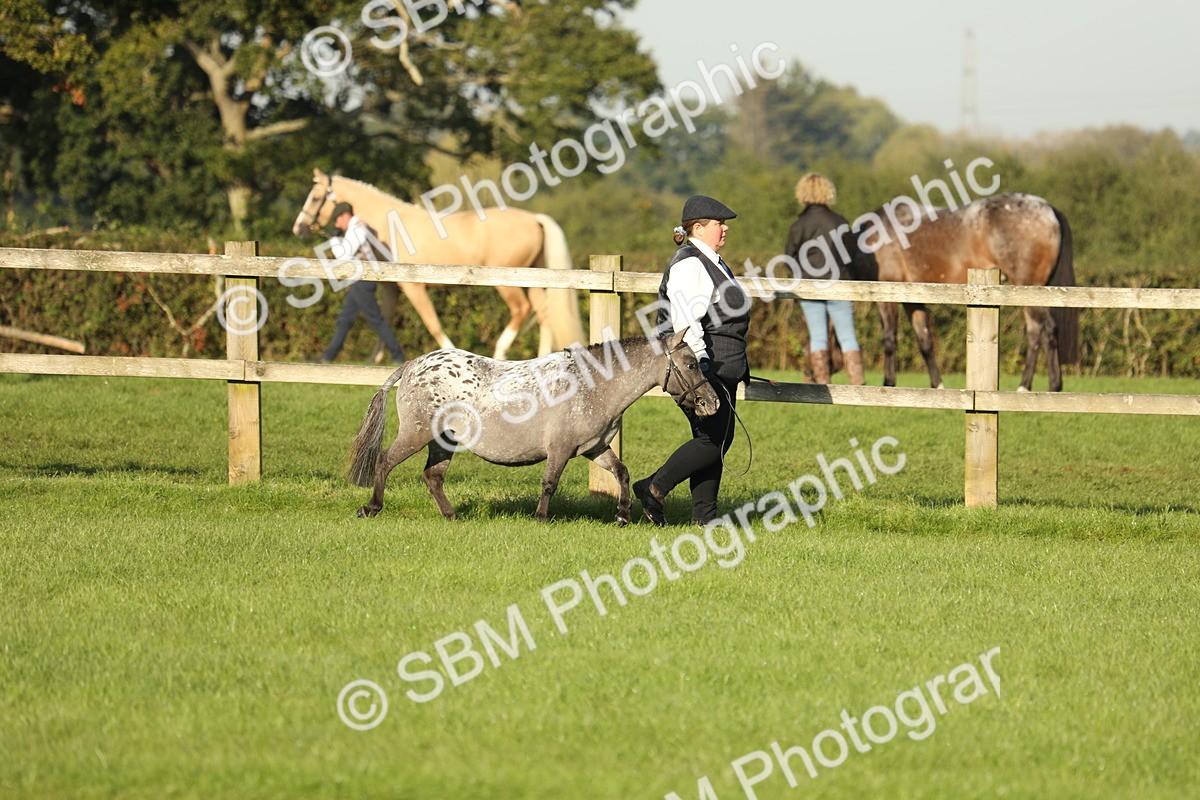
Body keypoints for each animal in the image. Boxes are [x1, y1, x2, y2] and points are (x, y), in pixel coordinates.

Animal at [291, 168, 585, 360]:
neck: (387, 226)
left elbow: (432, 324)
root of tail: (535, 219)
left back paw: (500, 354)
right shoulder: (392, 288)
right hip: (532, 280)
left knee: (521, 311)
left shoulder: (414, 288)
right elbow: (383, 322)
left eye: (315, 198)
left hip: (508, 284)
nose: (299, 228)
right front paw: (374, 361)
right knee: (545, 315)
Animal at [346, 331, 719, 524]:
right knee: (385, 461)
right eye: (690, 364)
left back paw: (451, 516)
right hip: (417, 433)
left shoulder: (595, 448)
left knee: (433, 476)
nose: (712, 403)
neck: (593, 384)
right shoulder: (560, 449)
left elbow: (622, 473)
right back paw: (371, 508)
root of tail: (412, 365)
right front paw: (541, 518)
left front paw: (623, 516)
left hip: (443, 440)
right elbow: (549, 483)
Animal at [851, 192, 1079, 392]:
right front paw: (937, 385)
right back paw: (1039, 386)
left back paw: (1038, 386)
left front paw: (888, 384)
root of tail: (1049, 210)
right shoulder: (912, 301)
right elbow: (924, 340)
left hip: (1028, 290)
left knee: (1042, 331)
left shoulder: (886, 297)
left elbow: (889, 340)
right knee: (1042, 332)